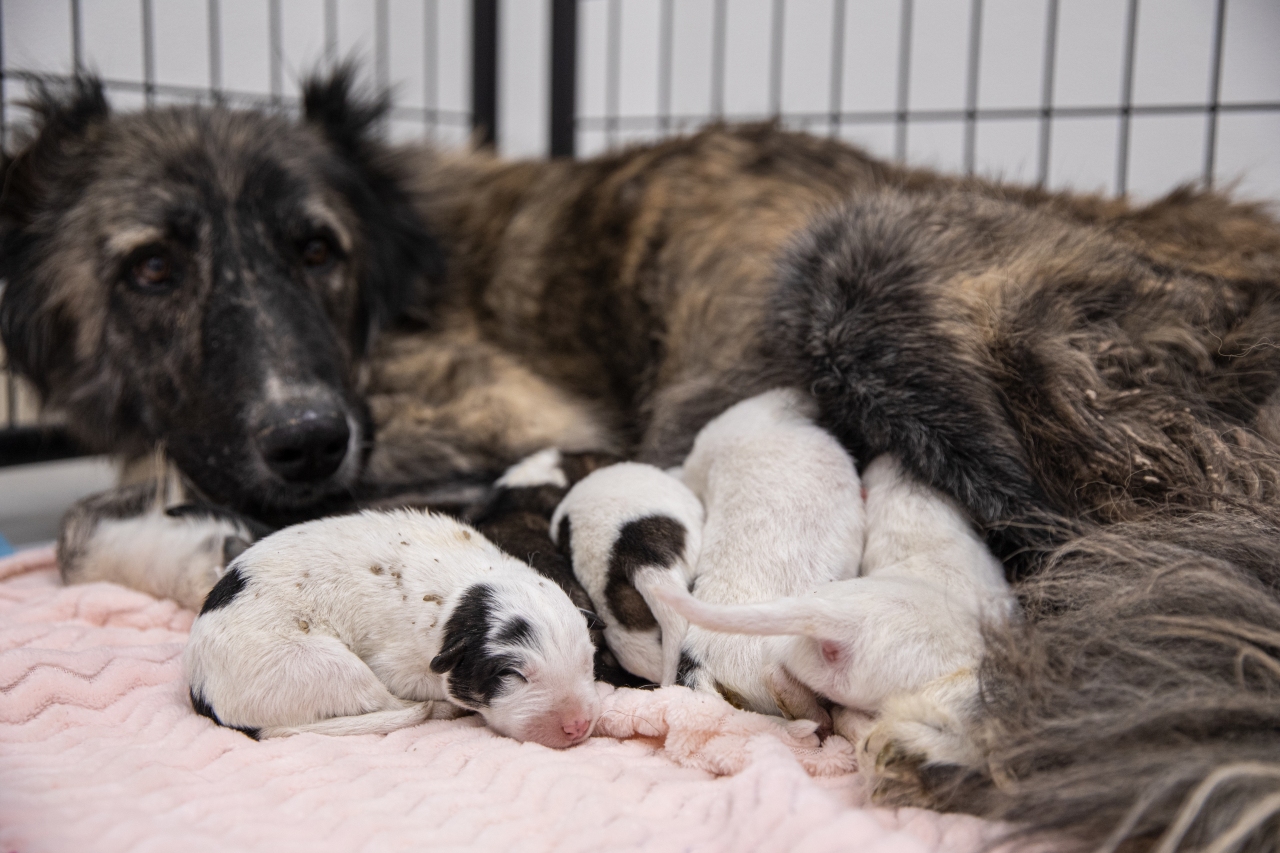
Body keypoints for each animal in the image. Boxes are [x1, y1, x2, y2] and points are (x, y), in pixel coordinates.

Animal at [186, 507, 604, 747]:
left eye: (589, 663)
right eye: (512, 675)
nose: (579, 726)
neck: (459, 600)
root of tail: (205, 695)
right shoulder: (398, 665)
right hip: (323, 666)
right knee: (386, 703)